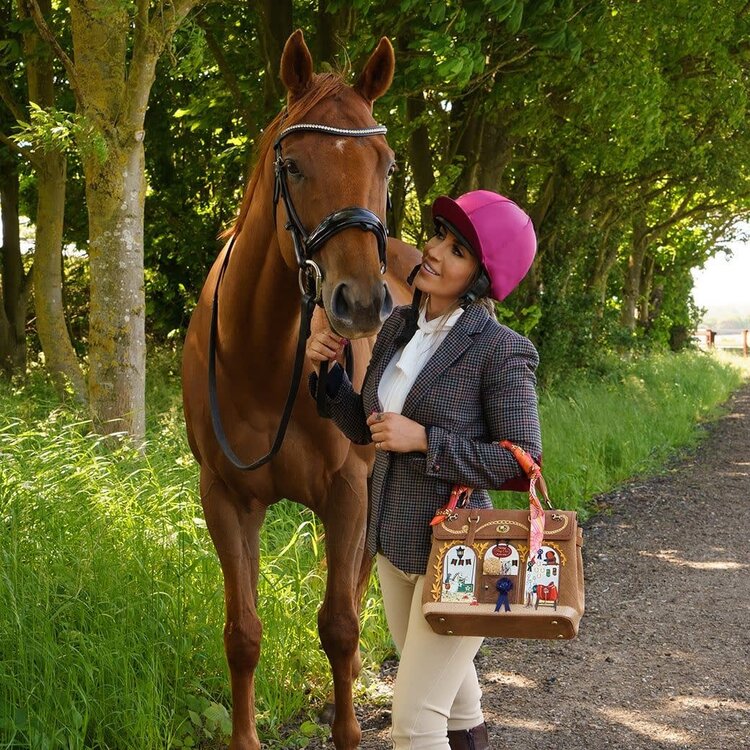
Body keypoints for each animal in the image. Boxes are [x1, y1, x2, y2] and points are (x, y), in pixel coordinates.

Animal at [182, 30, 420, 750]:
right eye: (292, 165)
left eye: (386, 163)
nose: (360, 302)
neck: (261, 360)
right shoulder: (226, 497)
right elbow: (243, 633)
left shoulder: (346, 490)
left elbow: (338, 625)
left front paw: (347, 726)